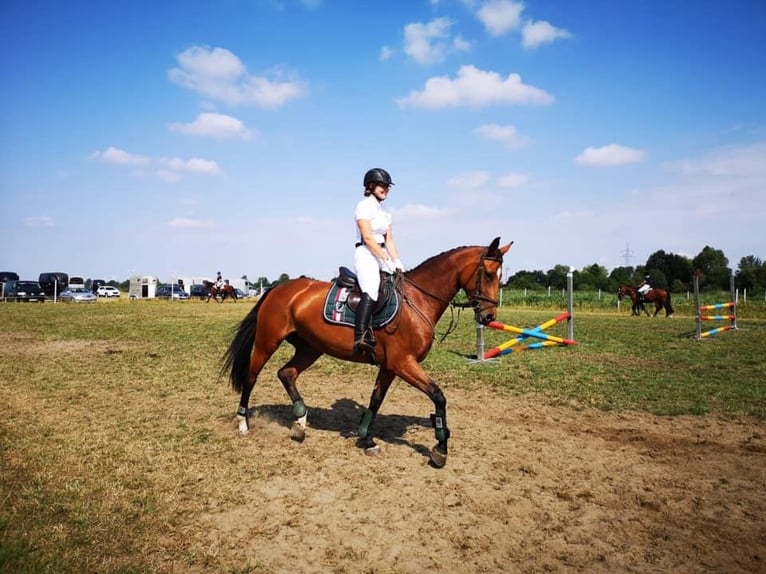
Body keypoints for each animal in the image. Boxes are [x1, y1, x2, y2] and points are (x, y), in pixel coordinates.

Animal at [221, 237, 512, 468]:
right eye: (488, 274)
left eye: (500, 277)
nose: (488, 317)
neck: (418, 301)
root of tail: (278, 288)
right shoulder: (403, 363)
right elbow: (438, 397)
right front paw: (440, 447)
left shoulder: (390, 366)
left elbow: (376, 400)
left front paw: (366, 438)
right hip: (267, 343)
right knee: (251, 378)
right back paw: (244, 423)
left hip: (310, 348)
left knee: (287, 373)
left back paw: (300, 421)